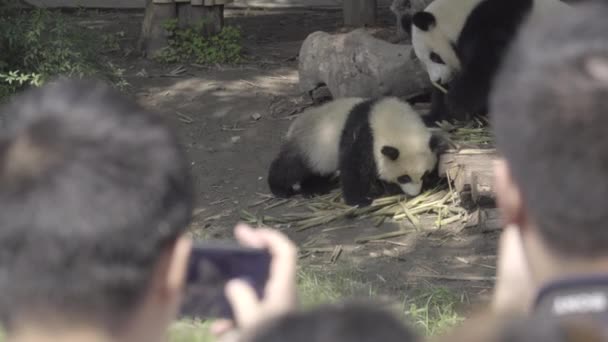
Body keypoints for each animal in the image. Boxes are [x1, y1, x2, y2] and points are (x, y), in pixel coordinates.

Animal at [268, 97, 440, 207]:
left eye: (424, 174)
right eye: (404, 178)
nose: (415, 193)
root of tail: (295, 123)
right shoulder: (363, 136)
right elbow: (354, 168)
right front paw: (359, 200)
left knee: (317, 172)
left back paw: (313, 189)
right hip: (309, 145)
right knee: (291, 167)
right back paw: (280, 189)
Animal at [408, 0, 568, 123]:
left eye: (435, 57)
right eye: (423, 63)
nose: (438, 80)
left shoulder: (494, 21)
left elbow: (487, 67)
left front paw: (457, 105)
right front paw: (434, 117)